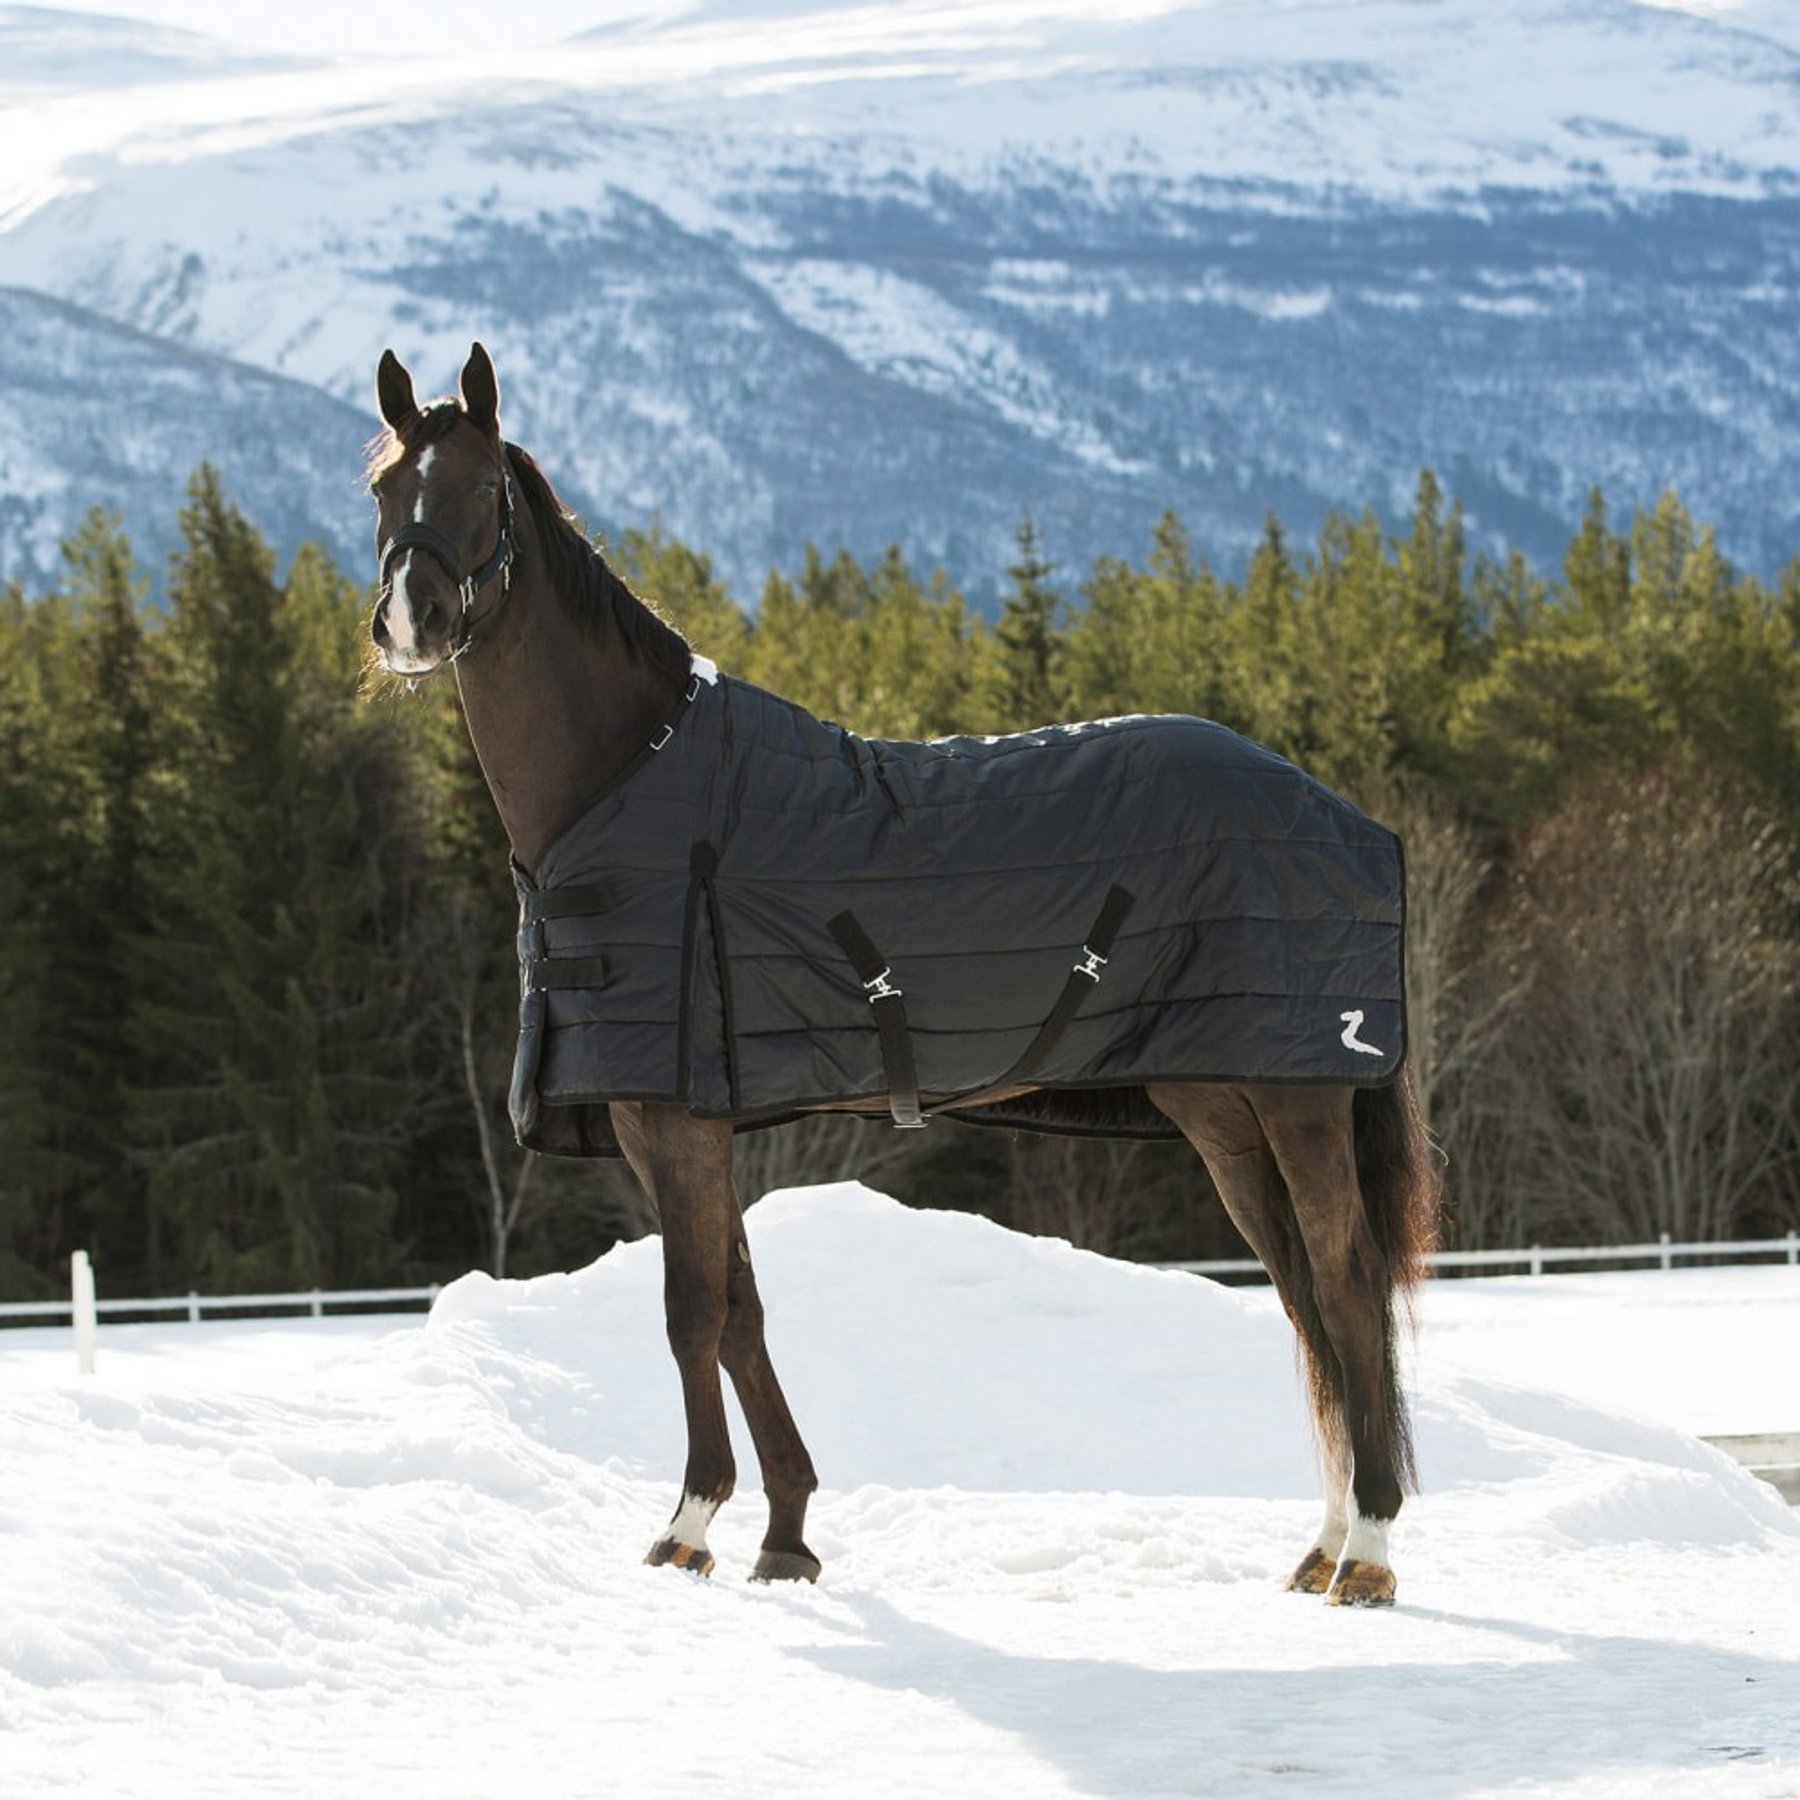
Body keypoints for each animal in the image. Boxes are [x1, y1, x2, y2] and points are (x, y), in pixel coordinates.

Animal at [367, 342, 1441, 1606]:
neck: (635, 779)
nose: (408, 620)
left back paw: (1369, 1550)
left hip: (1300, 1098)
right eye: (384, 491)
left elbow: (691, 1313)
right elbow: (743, 1312)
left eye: (482, 490)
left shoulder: (669, 1118)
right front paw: (786, 1531)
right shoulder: (694, 1122)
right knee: (1300, 1297)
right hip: (1222, 1108)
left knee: (1345, 1279)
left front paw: (690, 1524)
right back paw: (1323, 1543)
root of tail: (1336, 812)